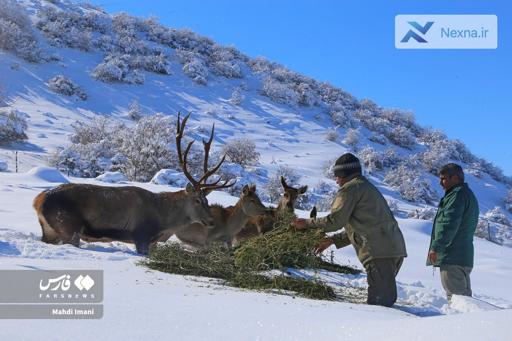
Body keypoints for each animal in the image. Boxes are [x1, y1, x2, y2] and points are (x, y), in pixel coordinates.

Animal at [35, 113, 235, 254]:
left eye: (207, 200)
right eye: (197, 200)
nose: (211, 221)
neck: (163, 221)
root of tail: (37, 200)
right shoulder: (141, 236)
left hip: (51, 230)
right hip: (69, 226)